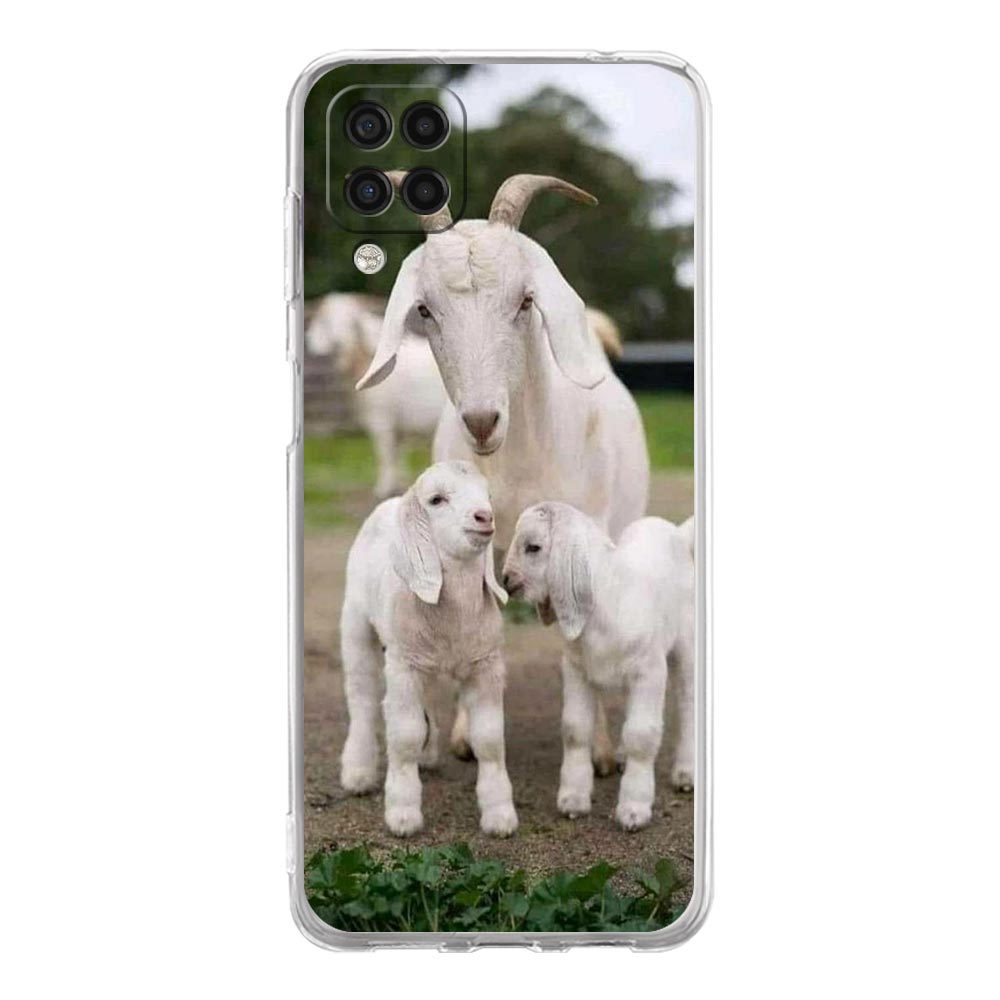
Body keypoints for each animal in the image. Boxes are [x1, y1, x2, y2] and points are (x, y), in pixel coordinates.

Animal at [339, 460, 517, 837]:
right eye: (437, 500)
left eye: (488, 495)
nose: (485, 517)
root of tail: (392, 503)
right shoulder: (403, 665)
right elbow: (404, 734)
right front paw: (403, 815)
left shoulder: (486, 666)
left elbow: (489, 738)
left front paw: (499, 816)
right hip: (356, 626)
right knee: (362, 699)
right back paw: (358, 772)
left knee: (428, 699)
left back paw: (427, 754)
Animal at [502, 504, 695, 831]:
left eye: (533, 547)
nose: (505, 580)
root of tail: (677, 531)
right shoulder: (576, 670)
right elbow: (575, 729)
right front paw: (573, 800)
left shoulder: (649, 672)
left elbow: (642, 735)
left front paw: (634, 810)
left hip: (687, 648)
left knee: (687, 704)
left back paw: (686, 773)